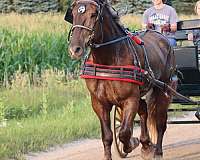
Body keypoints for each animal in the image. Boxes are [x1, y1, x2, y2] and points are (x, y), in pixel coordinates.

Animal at [67, 0, 177, 159]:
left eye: (94, 14)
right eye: (74, 14)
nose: (74, 49)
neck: (108, 60)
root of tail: (164, 39)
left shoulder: (130, 99)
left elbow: (124, 133)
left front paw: (131, 143)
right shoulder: (99, 102)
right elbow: (107, 136)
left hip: (164, 89)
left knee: (160, 122)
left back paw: (157, 151)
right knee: (144, 110)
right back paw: (146, 145)